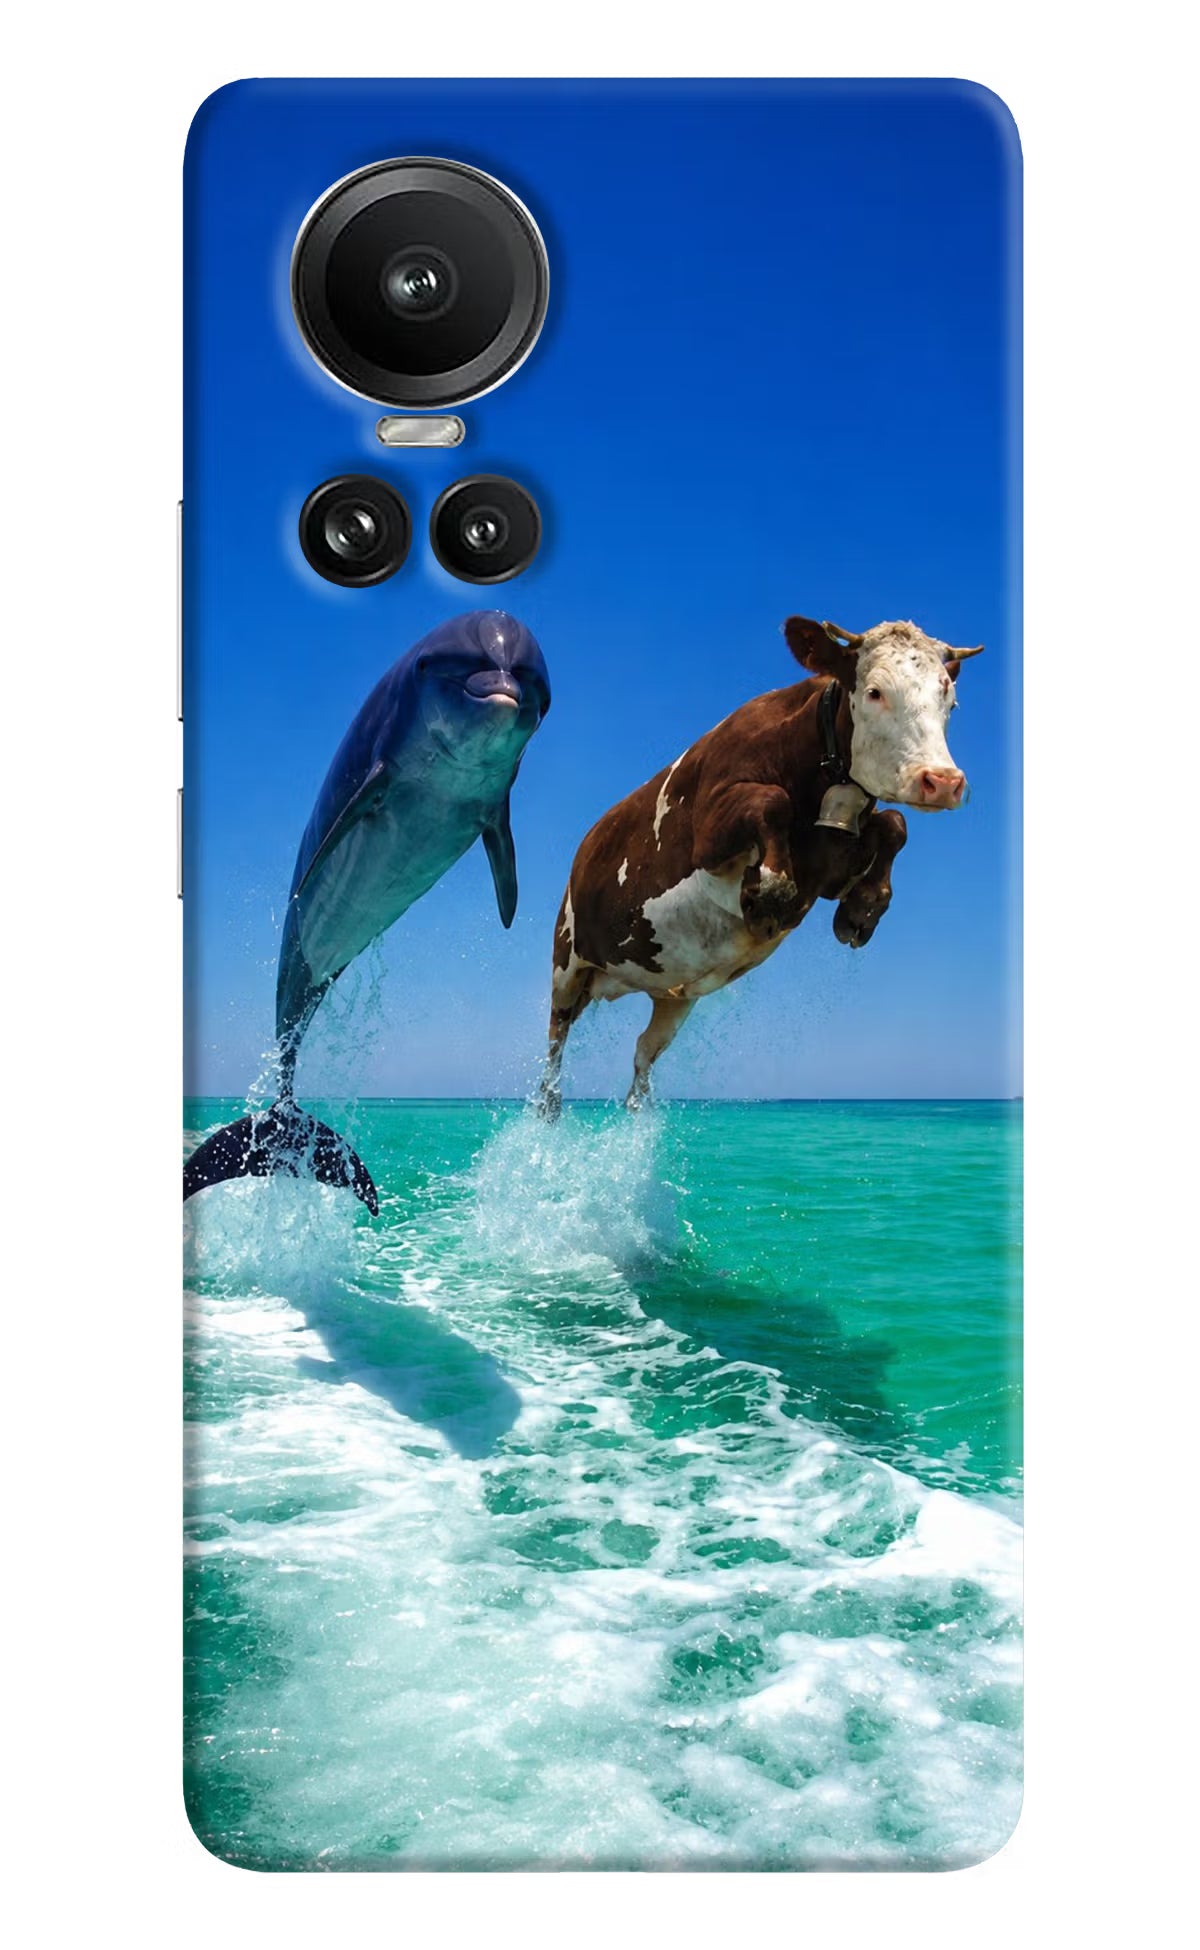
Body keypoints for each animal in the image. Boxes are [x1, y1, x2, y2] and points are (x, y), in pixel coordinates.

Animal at [536, 614, 983, 1116]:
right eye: (874, 691)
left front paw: (862, 909)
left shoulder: (830, 866)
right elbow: (772, 802)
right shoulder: (709, 833)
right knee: (554, 1043)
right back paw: (549, 1106)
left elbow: (894, 823)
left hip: (672, 995)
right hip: (566, 961)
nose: (942, 782)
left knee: (643, 1054)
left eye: (950, 699)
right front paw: (768, 893)